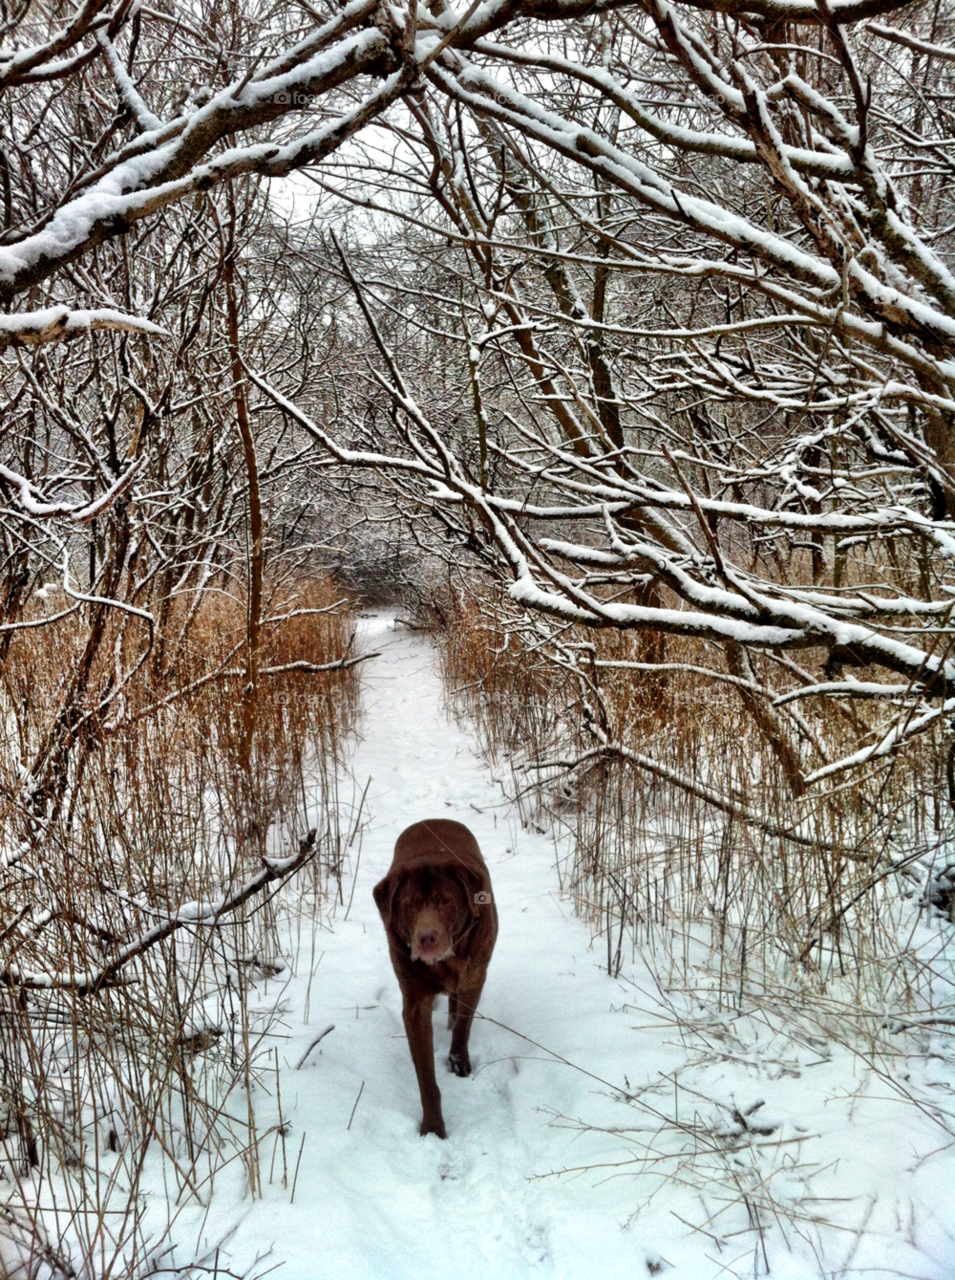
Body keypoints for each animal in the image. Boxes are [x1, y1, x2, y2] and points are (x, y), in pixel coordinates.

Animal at [371, 819, 494, 1141]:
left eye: (445, 900)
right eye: (410, 904)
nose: (426, 938)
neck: (446, 961)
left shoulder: (474, 978)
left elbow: (463, 1025)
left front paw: (459, 1063)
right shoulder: (414, 1002)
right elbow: (425, 1077)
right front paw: (433, 1128)